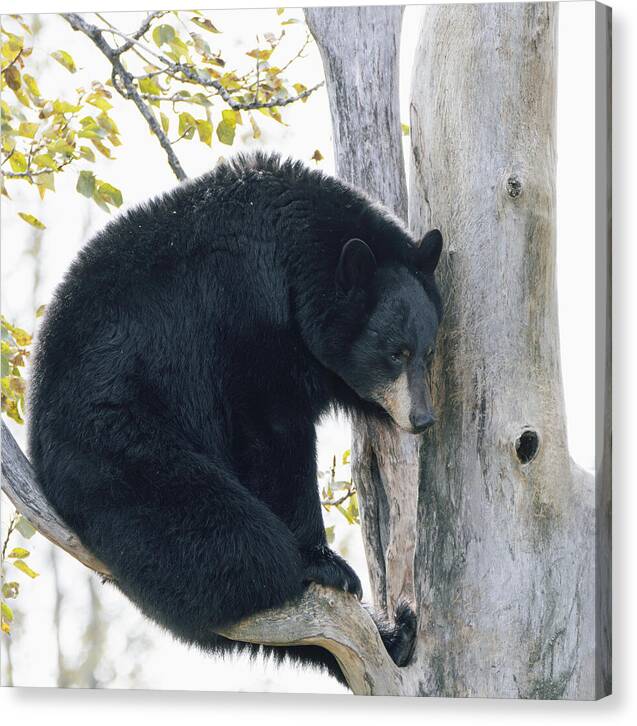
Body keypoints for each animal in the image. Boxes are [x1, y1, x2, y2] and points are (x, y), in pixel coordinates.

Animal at [27, 154, 440, 688]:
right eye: (395, 353)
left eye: (426, 353)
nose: (422, 419)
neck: (294, 260)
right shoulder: (245, 314)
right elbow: (271, 433)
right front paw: (323, 559)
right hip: (117, 443)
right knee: (232, 539)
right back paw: (293, 570)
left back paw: (396, 635)